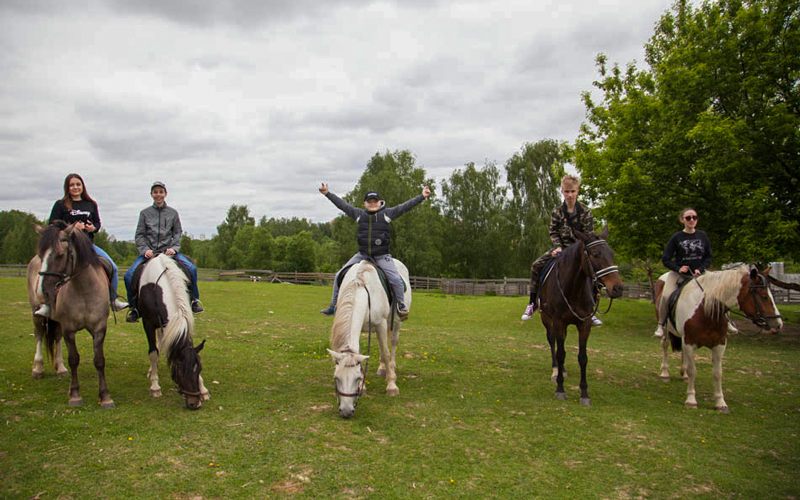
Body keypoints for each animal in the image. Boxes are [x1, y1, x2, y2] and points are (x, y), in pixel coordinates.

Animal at [26, 222, 115, 406]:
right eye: (41, 255)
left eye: (60, 255)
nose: (42, 292)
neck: (84, 290)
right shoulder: (69, 329)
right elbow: (74, 359)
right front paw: (75, 395)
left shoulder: (99, 328)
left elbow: (99, 360)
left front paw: (105, 397)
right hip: (36, 314)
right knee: (39, 335)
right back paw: (38, 368)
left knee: (56, 337)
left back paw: (60, 368)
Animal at [139, 254, 211, 410]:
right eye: (180, 371)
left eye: (199, 368)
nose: (194, 404)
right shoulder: (148, 323)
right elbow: (153, 353)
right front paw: (155, 387)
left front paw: (203, 389)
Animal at [652, 264, 784, 412]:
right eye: (764, 296)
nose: (778, 324)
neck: (704, 310)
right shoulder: (690, 342)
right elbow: (693, 371)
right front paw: (691, 400)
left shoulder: (719, 345)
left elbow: (717, 373)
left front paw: (720, 403)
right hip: (666, 329)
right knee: (665, 345)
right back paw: (665, 373)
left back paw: (683, 374)